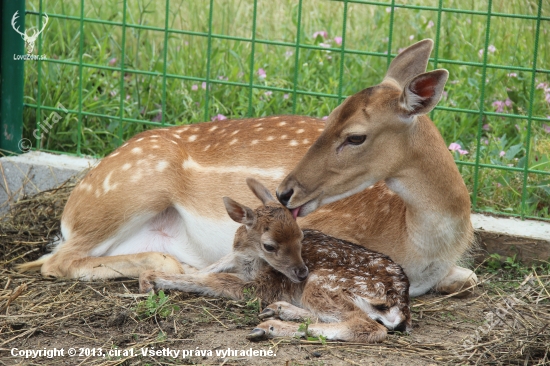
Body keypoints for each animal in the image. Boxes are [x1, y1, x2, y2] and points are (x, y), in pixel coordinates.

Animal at [19, 39, 478, 298]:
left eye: (355, 136)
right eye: (328, 118)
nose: (286, 192)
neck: (418, 244)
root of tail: (70, 212)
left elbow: (472, 278)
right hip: (133, 186)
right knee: (56, 261)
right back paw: (171, 266)